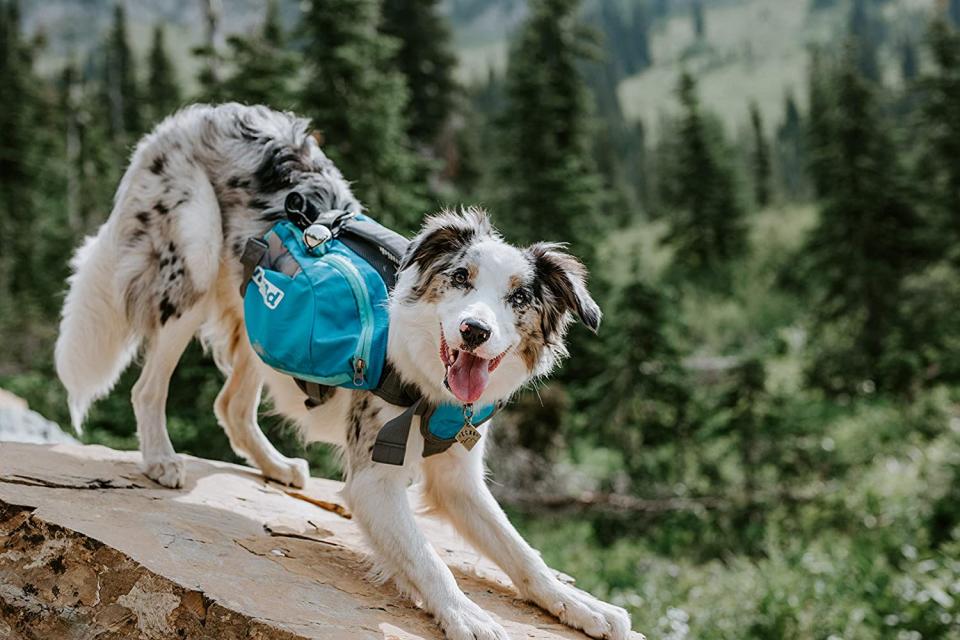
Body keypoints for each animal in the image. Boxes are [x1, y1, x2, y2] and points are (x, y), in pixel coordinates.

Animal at [56, 105, 632, 640]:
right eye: (461, 278)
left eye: (518, 299)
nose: (474, 331)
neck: (430, 385)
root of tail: (197, 114)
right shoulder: (374, 481)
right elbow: (430, 560)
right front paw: (468, 615)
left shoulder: (459, 480)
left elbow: (523, 554)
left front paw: (583, 606)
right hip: (192, 264)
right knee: (147, 387)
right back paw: (160, 458)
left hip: (258, 317)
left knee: (231, 405)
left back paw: (275, 466)